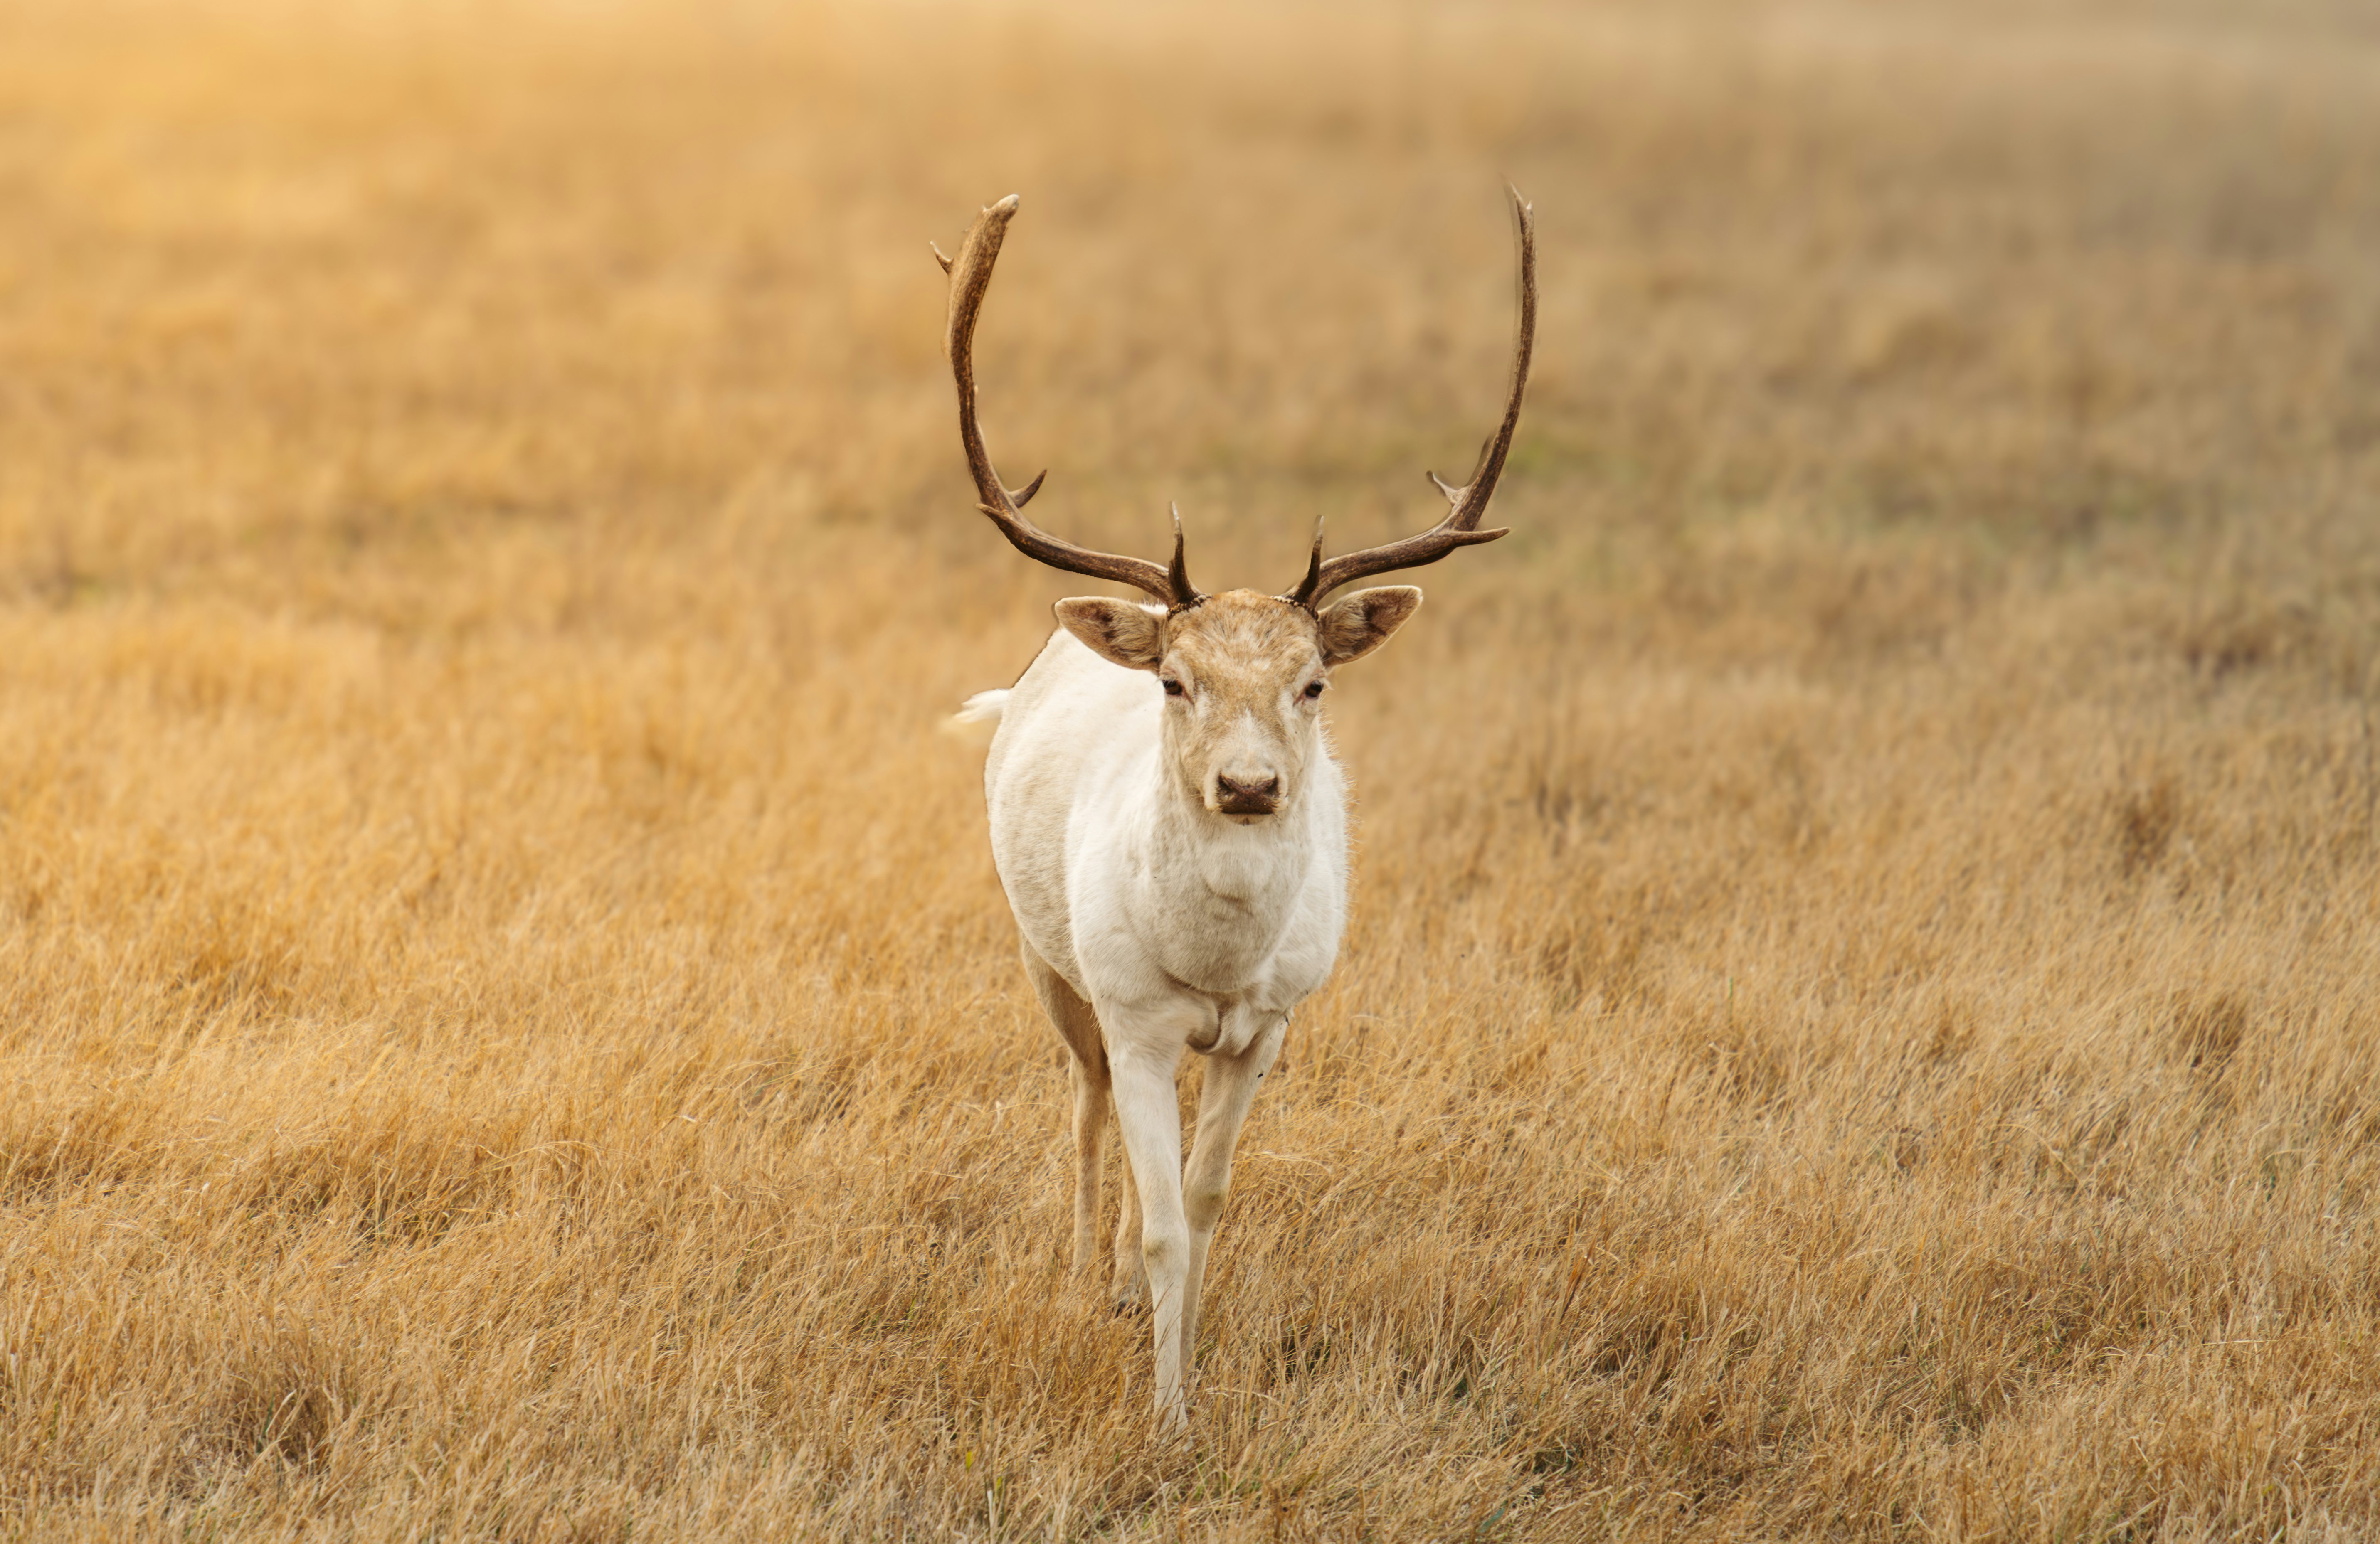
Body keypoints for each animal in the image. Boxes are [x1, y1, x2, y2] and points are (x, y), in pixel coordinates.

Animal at [933, 188, 1535, 1429]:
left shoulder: (1269, 1025)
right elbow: (1161, 1210)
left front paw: (1189, 1365)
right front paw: (1167, 1417)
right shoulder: (1132, 1007)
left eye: (1313, 682)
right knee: (1084, 1108)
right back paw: (1086, 1275)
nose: (1249, 785)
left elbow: (1201, 1206)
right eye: (1174, 679)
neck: (1211, 967)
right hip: (1045, 959)